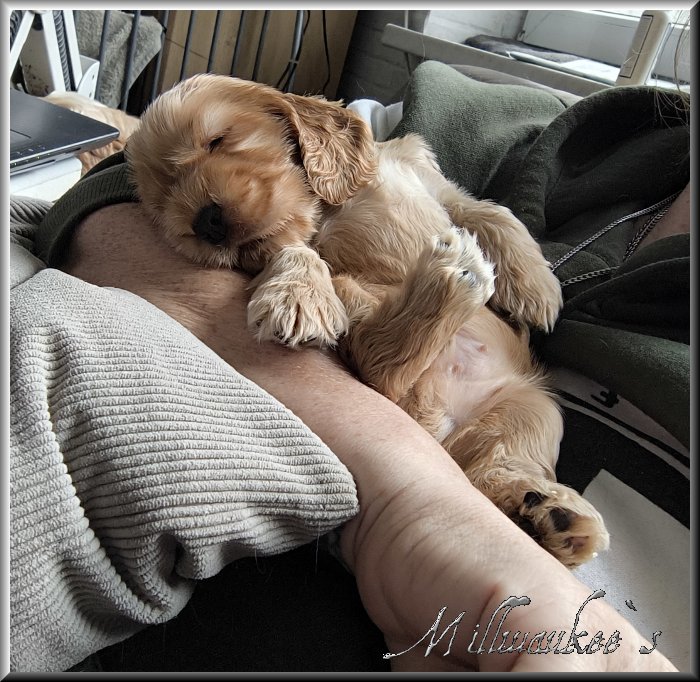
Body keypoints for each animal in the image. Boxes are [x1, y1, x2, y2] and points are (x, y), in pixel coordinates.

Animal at [126, 74, 609, 568]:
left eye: (218, 140)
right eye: (163, 199)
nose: (204, 223)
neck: (331, 208)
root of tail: (436, 418)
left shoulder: (429, 178)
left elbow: (489, 211)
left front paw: (537, 287)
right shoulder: (292, 252)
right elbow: (296, 252)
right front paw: (299, 296)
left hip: (533, 412)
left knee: (493, 469)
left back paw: (550, 517)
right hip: (375, 322)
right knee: (383, 364)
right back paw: (451, 278)